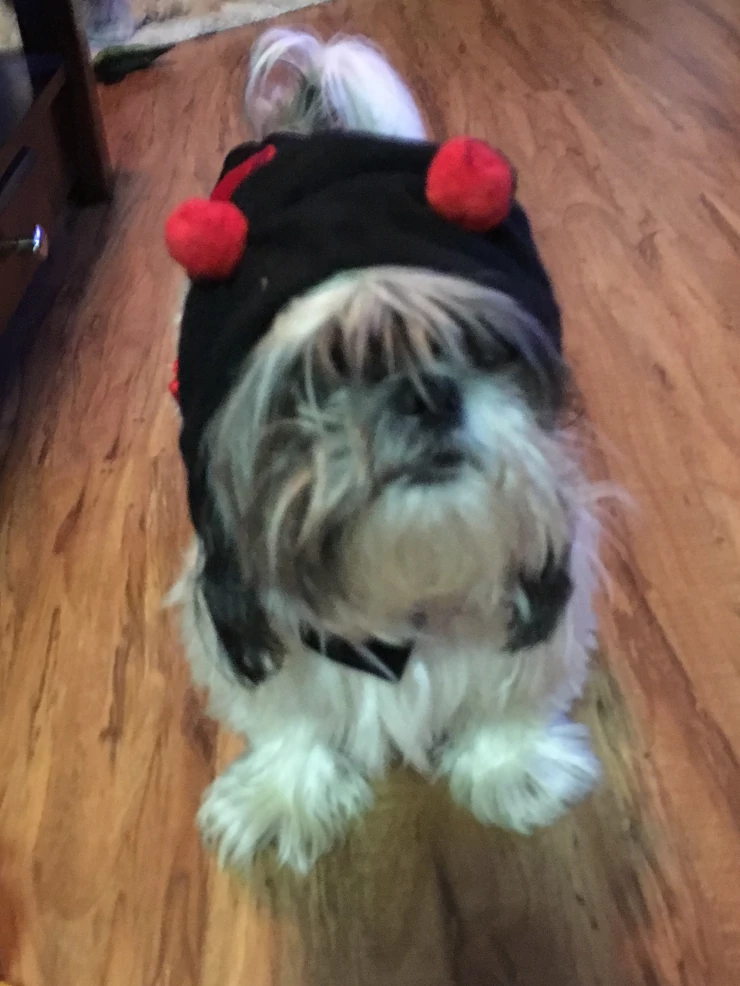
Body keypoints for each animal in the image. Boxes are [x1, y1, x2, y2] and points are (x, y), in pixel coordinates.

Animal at [166, 29, 606, 874]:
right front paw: (284, 793)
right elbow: (286, 710)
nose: (427, 393)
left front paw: (511, 767)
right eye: (318, 375)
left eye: (480, 348)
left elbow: (512, 687)